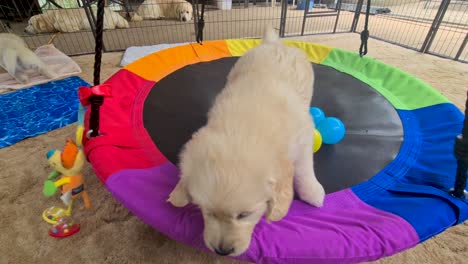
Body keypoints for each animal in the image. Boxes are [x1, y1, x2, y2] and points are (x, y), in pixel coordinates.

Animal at [168, 26, 326, 256]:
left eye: (244, 214)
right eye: (207, 211)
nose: (222, 251)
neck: (243, 129)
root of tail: (272, 43)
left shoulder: (304, 136)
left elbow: (304, 169)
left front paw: (312, 192)